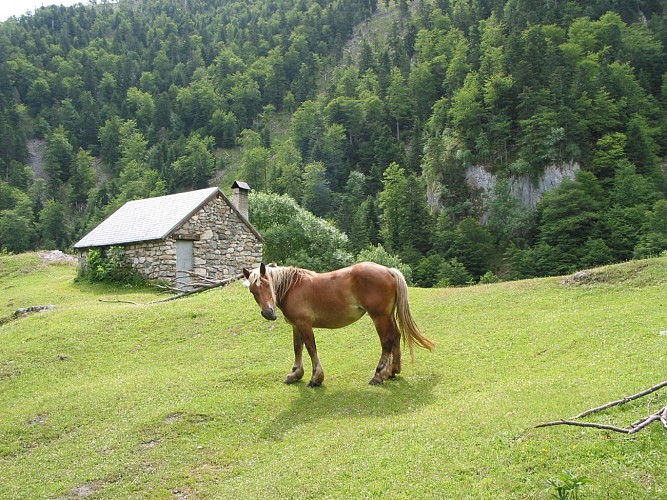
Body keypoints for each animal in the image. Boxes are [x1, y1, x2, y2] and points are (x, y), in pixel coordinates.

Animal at [243, 262, 436, 386]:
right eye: (252, 290)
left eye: (267, 284)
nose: (268, 313)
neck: (292, 286)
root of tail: (388, 270)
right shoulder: (296, 325)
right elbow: (297, 348)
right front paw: (295, 374)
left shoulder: (304, 324)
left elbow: (311, 348)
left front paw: (316, 378)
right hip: (388, 316)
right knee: (395, 337)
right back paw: (393, 371)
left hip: (379, 317)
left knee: (386, 342)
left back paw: (378, 375)